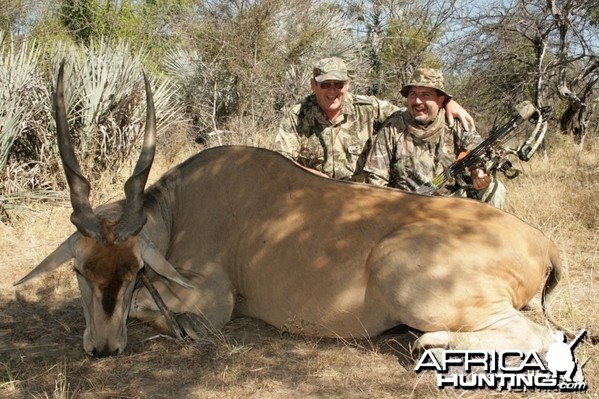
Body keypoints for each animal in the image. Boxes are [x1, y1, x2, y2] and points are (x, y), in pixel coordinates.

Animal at [17, 63, 564, 360]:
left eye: (133, 272)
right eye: (79, 270)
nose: (103, 348)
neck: (181, 206)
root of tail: (543, 242)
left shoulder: (213, 302)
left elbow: (157, 313)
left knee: (546, 338)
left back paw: (431, 343)